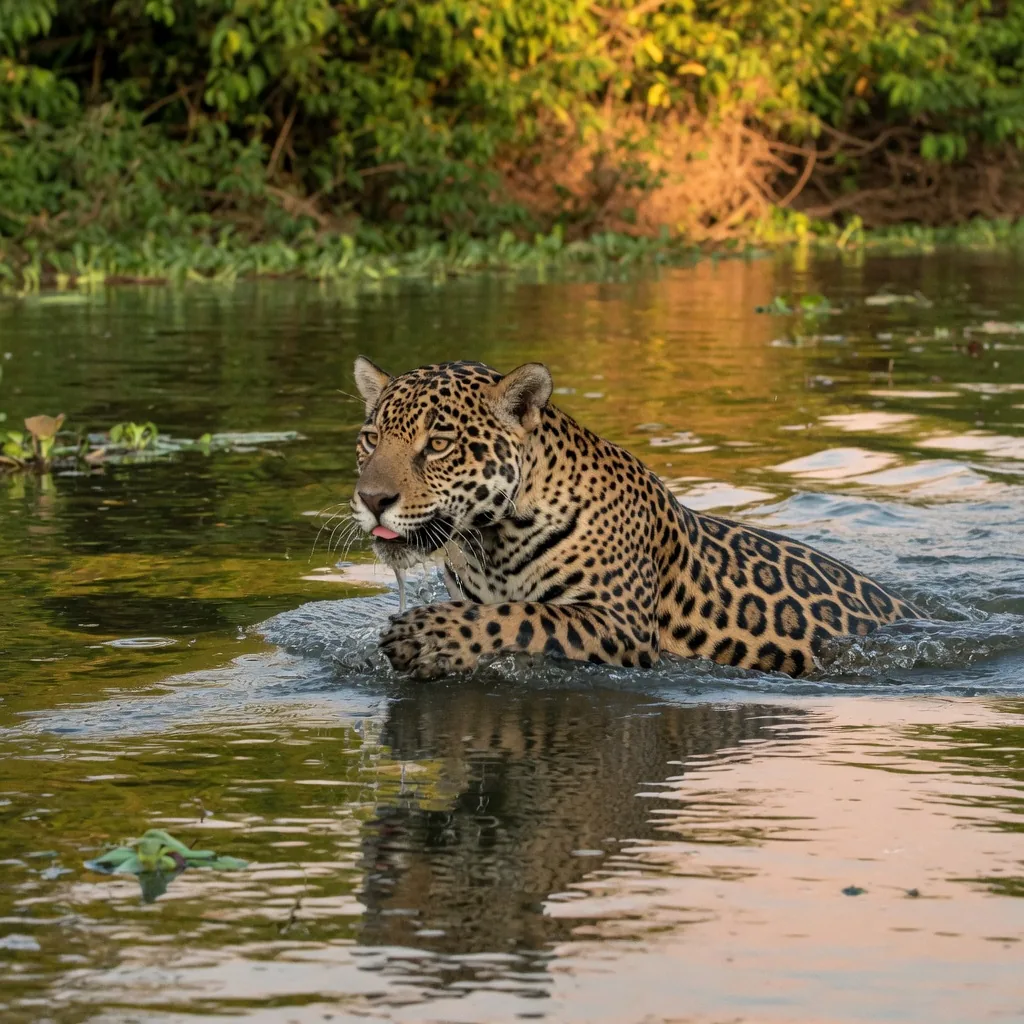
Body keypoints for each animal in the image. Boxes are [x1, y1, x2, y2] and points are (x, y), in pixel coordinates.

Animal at [349, 357, 921, 680]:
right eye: (372, 438)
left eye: (438, 445)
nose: (372, 499)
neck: (493, 545)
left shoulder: (620, 623)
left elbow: (522, 615)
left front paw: (427, 634)